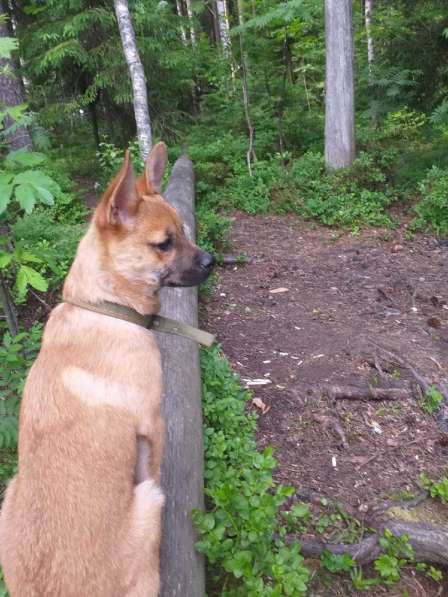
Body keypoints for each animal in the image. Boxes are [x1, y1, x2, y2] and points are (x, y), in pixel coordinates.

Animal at [0, 143, 215, 596]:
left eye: (184, 230)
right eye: (164, 244)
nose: (213, 260)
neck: (106, 306)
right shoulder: (153, 423)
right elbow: (155, 462)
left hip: (9, 492)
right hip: (149, 500)